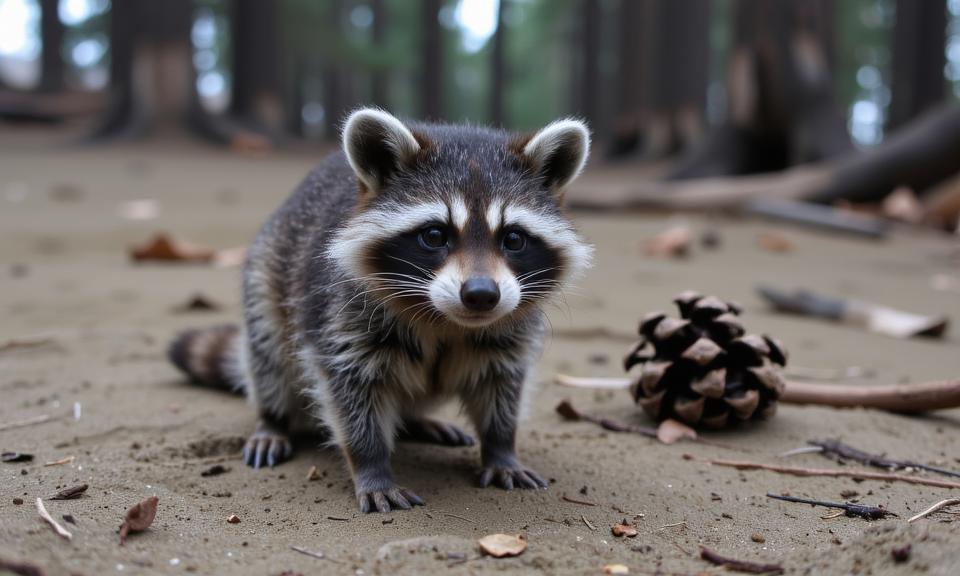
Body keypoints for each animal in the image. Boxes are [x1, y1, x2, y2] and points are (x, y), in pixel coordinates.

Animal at [169, 109, 593, 513]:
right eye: (435, 235)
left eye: (514, 239)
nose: (481, 295)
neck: (446, 320)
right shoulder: (338, 313)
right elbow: (351, 389)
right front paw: (371, 465)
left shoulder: (511, 326)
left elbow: (502, 383)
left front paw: (501, 447)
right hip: (267, 273)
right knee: (268, 352)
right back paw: (273, 420)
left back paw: (419, 419)